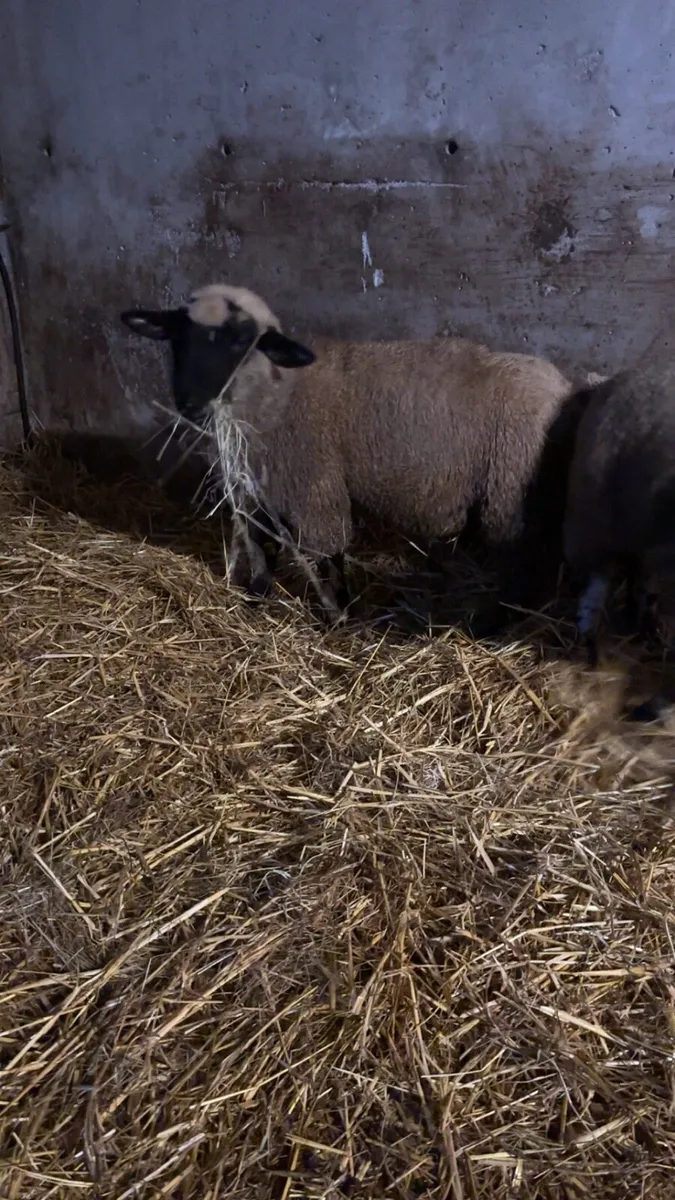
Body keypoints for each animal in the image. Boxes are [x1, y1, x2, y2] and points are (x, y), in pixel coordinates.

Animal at [120, 283, 579, 623]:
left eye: (240, 342)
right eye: (177, 336)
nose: (190, 403)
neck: (282, 396)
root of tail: (565, 386)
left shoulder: (314, 485)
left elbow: (328, 553)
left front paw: (338, 613)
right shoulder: (259, 486)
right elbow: (261, 544)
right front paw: (257, 597)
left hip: (510, 488)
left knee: (524, 559)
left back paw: (499, 619)